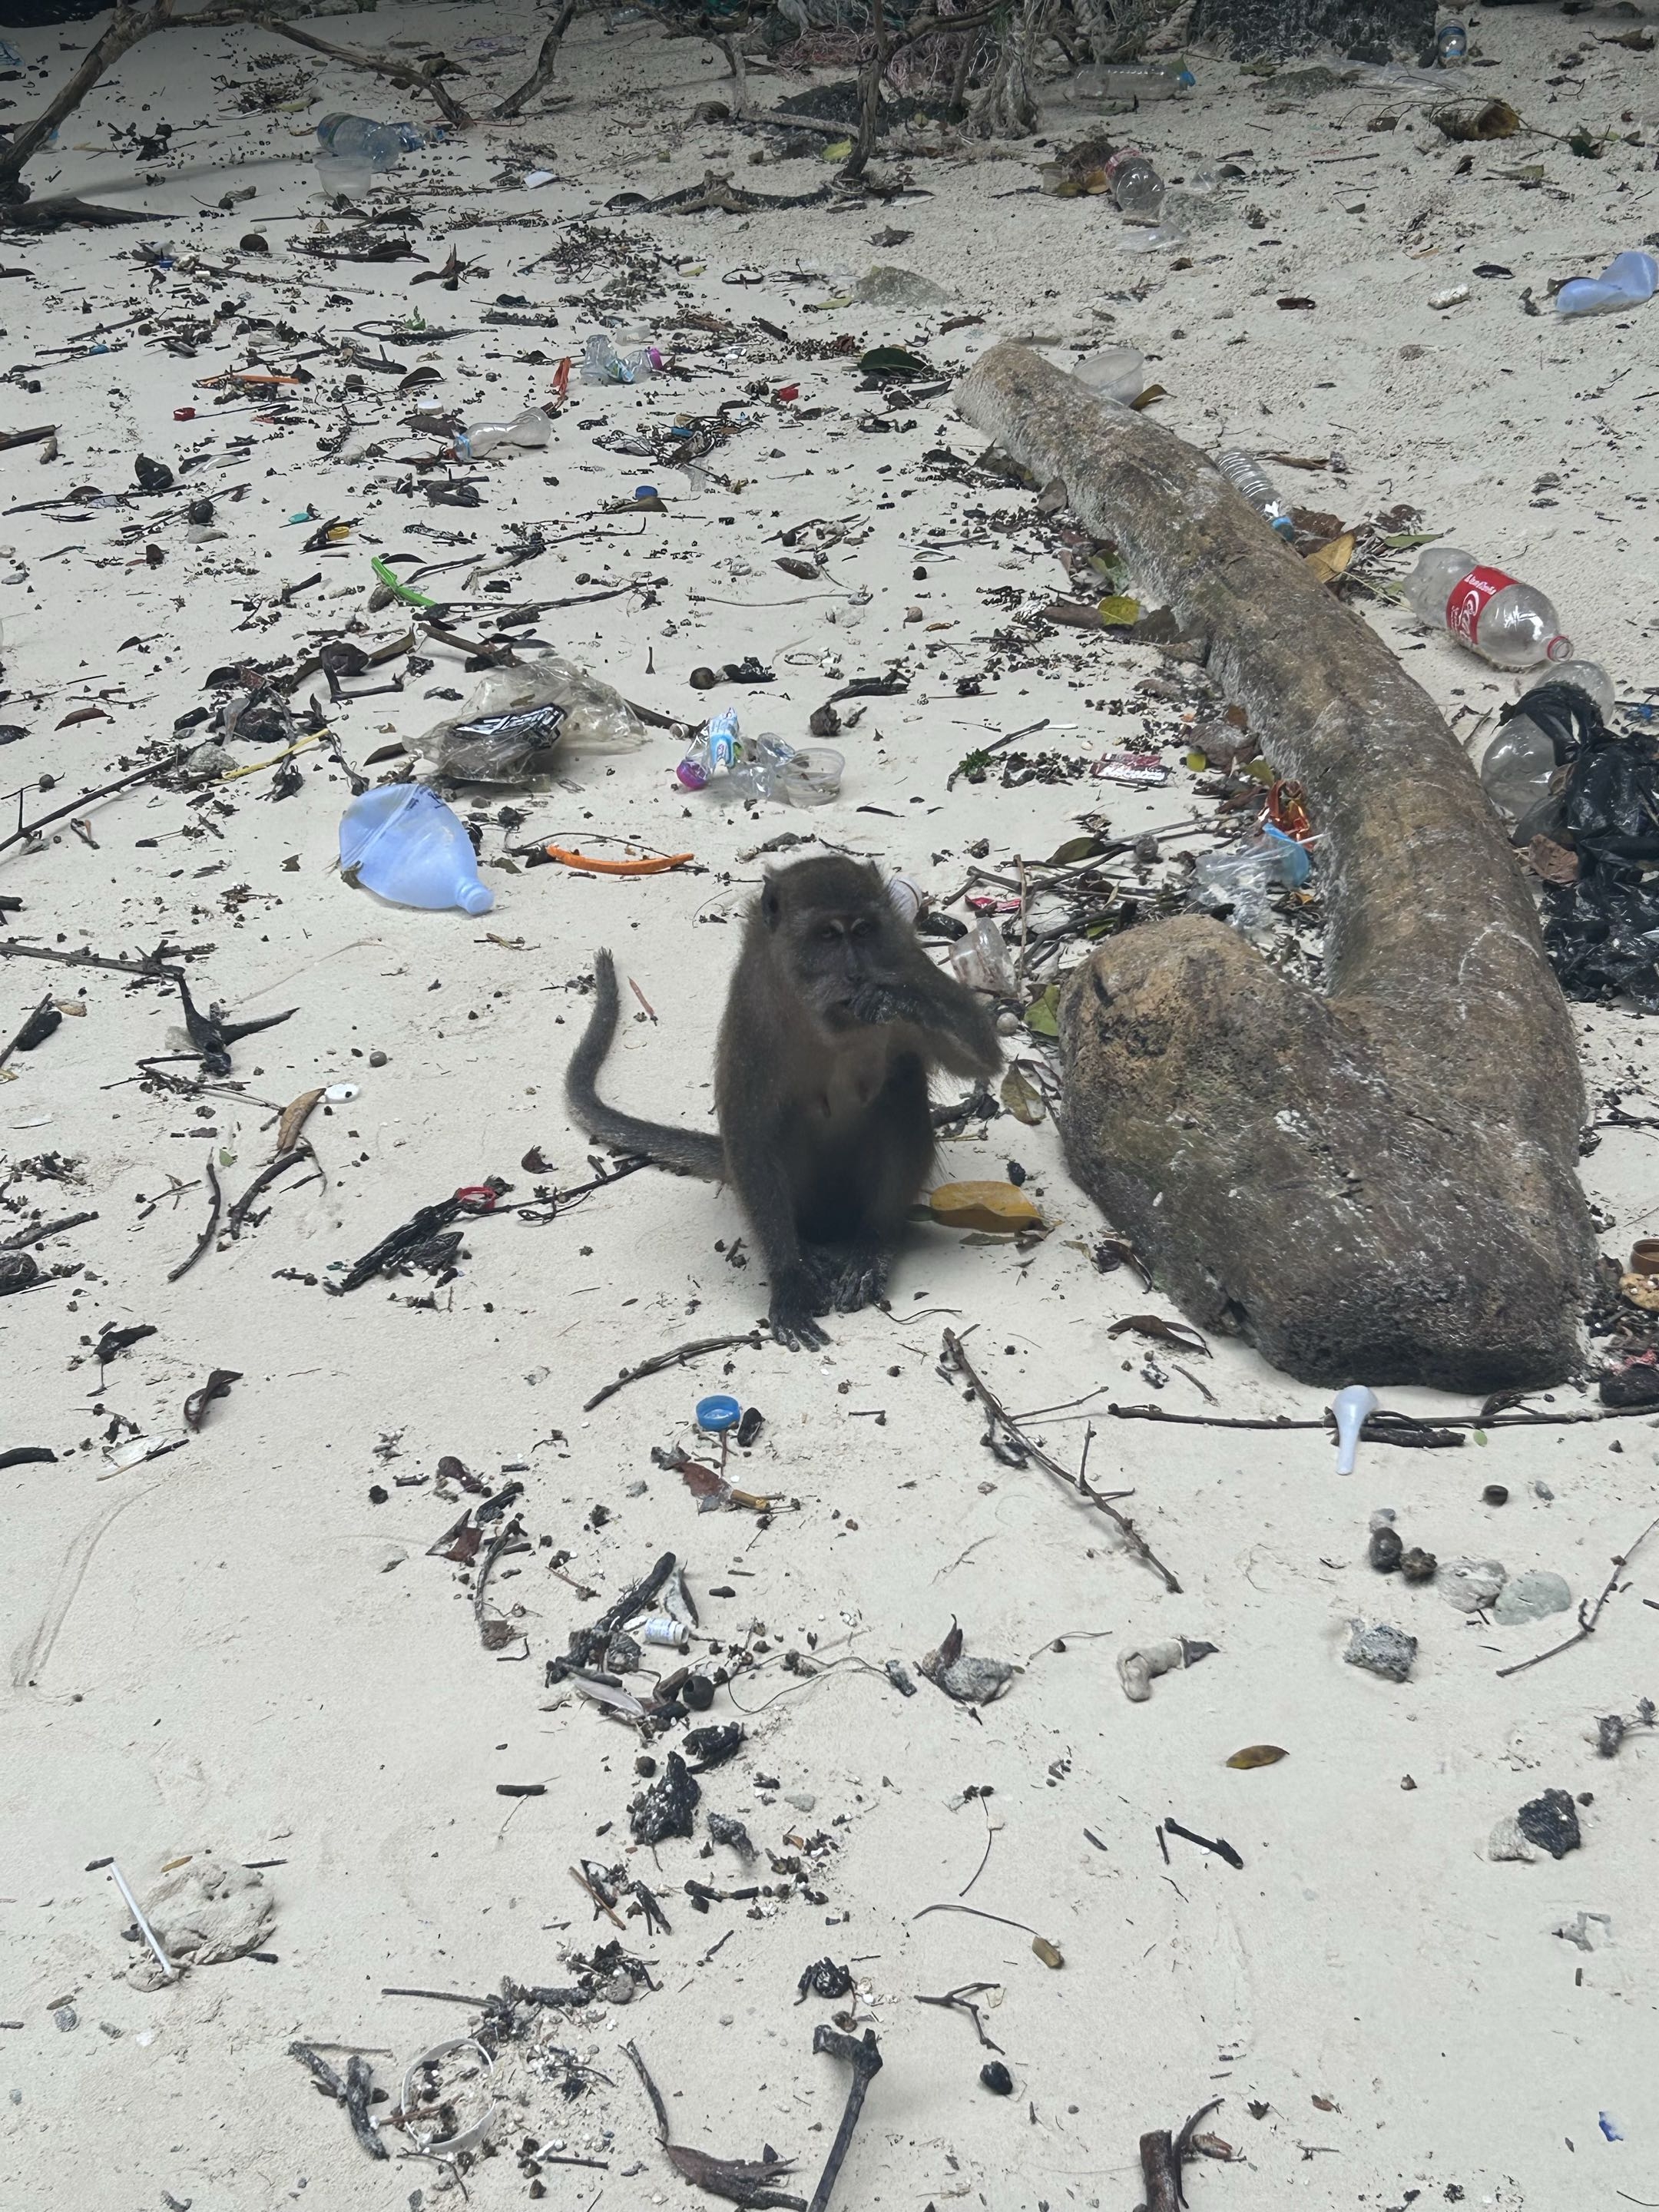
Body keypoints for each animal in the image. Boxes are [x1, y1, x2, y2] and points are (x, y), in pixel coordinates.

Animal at [565, 854, 1003, 1349]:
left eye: (863, 931)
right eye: (828, 935)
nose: (855, 974)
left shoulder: (904, 957)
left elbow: (981, 1055)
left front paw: (895, 998)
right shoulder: (753, 1013)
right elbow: (750, 1135)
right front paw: (789, 1278)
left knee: (901, 1081)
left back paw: (873, 1243)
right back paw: (808, 1252)